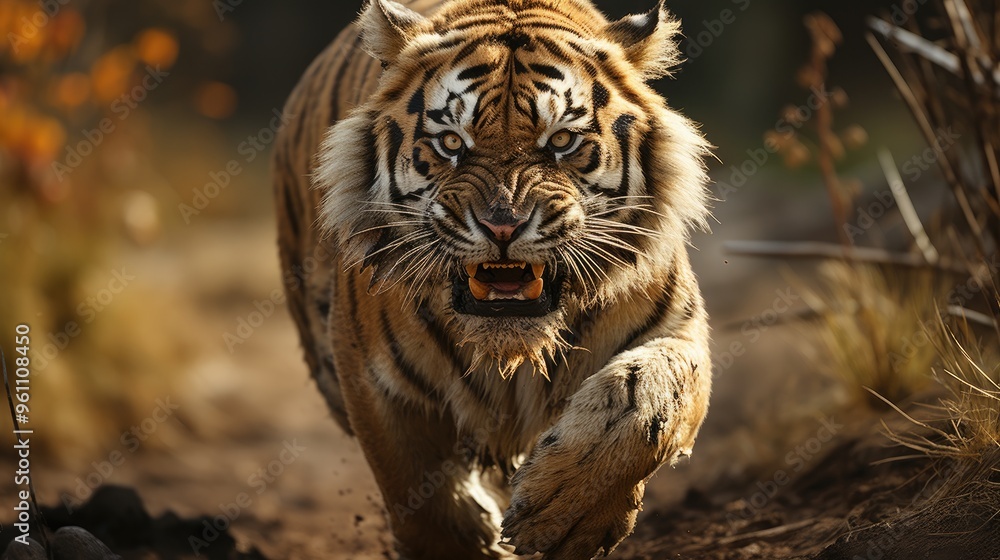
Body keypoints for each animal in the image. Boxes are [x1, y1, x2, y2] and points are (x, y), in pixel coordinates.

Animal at [272, 0, 713, 558]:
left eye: (562, 140)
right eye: (451, 143)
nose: (503, 225)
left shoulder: (677, 331)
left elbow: (646, 405)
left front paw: (568, 509)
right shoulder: (374, 381)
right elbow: (423, 502)